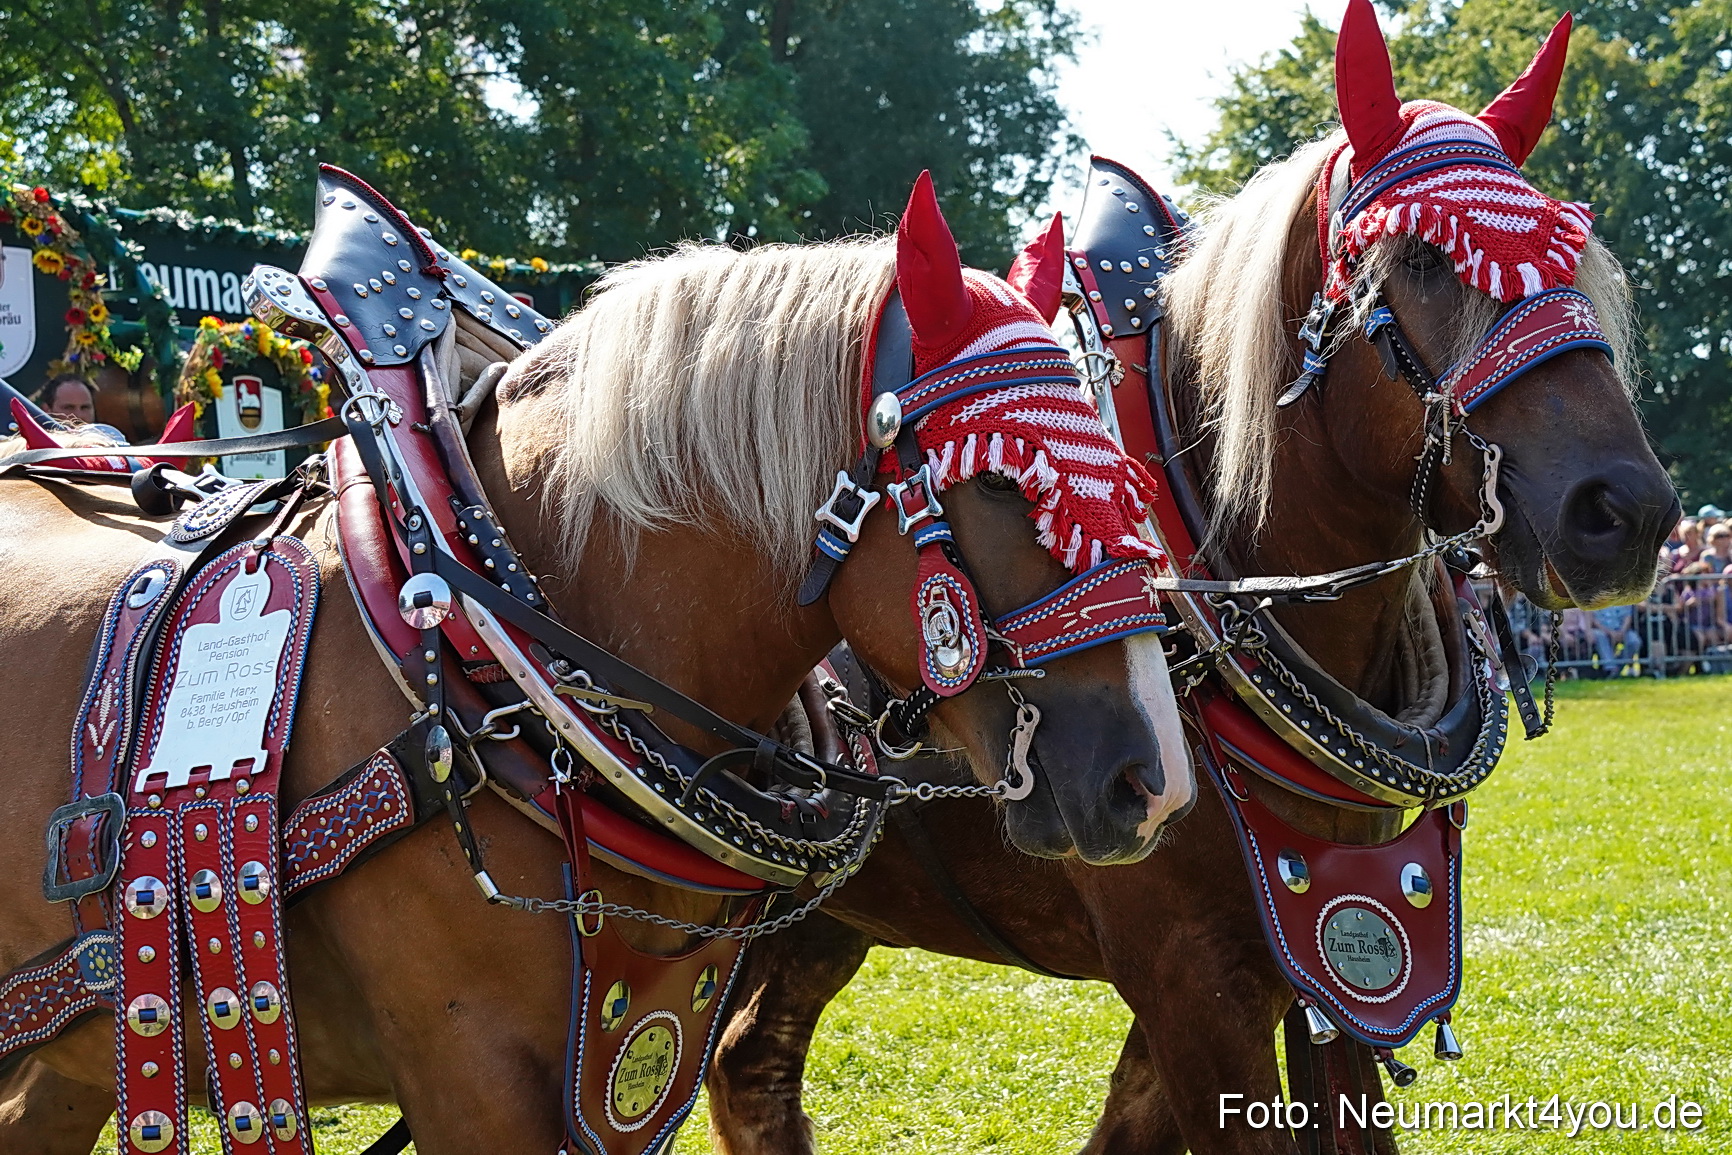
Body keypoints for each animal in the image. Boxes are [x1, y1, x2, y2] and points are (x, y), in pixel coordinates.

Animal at [704, 9, 1680, 1154]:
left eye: (1572, 254)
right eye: (1426, 258)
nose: (1625, 511)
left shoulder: (1322, 955)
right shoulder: (1193, 974)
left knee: (750, 1065)